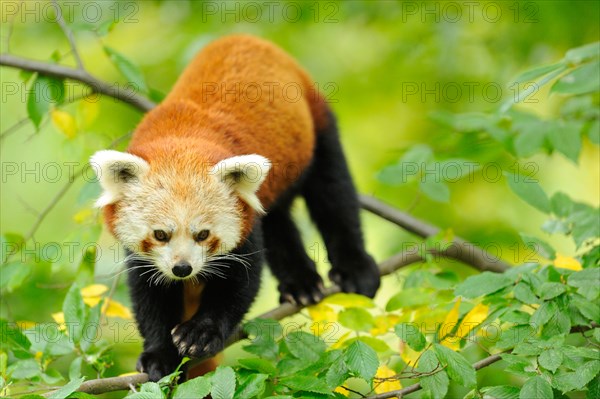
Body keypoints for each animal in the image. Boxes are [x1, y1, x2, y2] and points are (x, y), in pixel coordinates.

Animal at [91, 36, 378, 382]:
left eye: (203, 234)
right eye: (160, 234)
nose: (182, 269)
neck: (180, 138)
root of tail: (243, 37)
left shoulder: (243, 220)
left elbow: (240, 283)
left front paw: (200, 333)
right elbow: (149, 294)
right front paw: (159, 355)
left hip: (317, 123)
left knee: (333, 194)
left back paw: (354, 269)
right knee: (278, 220)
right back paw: (301, 283)